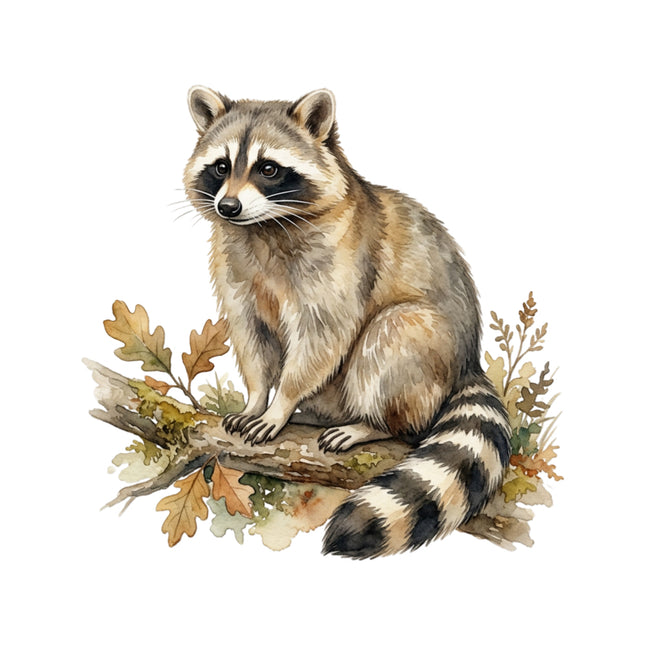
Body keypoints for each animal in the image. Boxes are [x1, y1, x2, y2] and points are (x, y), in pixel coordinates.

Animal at [183, 86, 511, 558]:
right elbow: (251, 334)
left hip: (426, 348)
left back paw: (370, 423)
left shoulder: (343, 261)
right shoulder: (235, 264)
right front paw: (257, 397)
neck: (265, 226)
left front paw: (281, 401)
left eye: (268, 168)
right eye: (221, 167)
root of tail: (469, 360)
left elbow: (324, 336)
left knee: (391, 335)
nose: (228, 207)